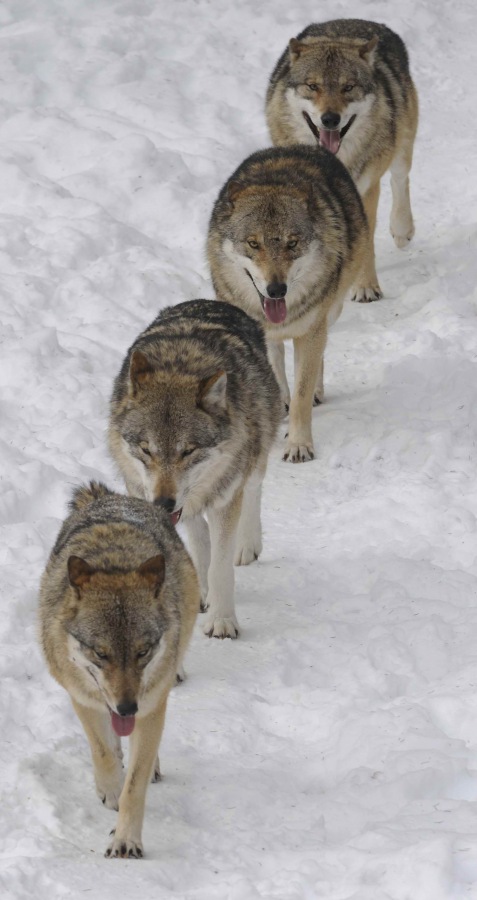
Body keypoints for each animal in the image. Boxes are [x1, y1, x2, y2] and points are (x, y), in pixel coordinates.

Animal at [39, 481, 199, 859]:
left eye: (143, 651)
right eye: (101, 653)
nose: (127, 708)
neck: (114, 561)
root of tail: (108, 496)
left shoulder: (152, 703)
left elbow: (135, 785)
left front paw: (126, 840)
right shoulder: (83, 696)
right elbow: (103, 752)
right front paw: (110, 789)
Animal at [108, 299, 282, 640]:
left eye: (188, 451)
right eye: (146, 449)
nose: (164, 503)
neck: (180, 364)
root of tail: (213, 301)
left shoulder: (226, 500)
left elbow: (221, 568)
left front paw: (222, 620)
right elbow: (199, 547)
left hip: (255, 457)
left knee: (253, 491)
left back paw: (248, 545)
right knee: (198, 533)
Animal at [207, 145, 368, 462]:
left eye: (292, 243)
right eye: (253, 243)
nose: (276, 289)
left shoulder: (311, 330)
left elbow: (301, 396)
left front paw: (298, 445)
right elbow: (275, 375)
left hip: (331, 311)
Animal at [266, 18, 419, 301]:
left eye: (348, 87)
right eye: (312, 86)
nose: (330, 119)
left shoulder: (366, 191)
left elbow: (366, 242)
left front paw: (366, 287)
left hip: (402, 145)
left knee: (400, 180)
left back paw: (402, 231)